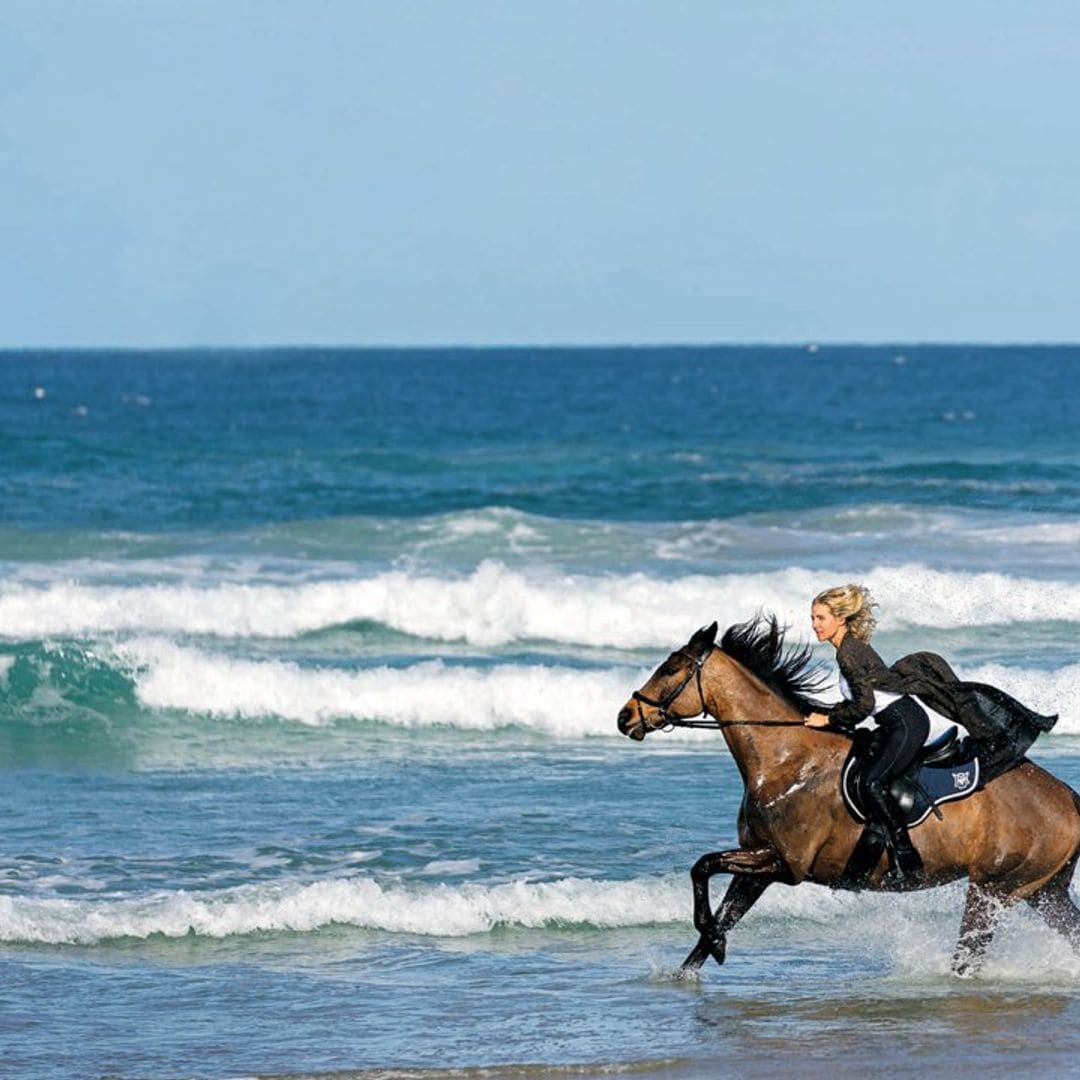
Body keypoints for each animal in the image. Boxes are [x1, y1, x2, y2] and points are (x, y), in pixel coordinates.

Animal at [617, 617, 1080, 980]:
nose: (625, 717)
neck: (786, 760)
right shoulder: (759, 864)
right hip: (1044, 892)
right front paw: (708, 950)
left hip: (994, 891)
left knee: (968, 956)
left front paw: (713, 941)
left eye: (670, 669)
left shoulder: (785, 863)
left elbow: (702, 866)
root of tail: (1068, 797)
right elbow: (722, 911)